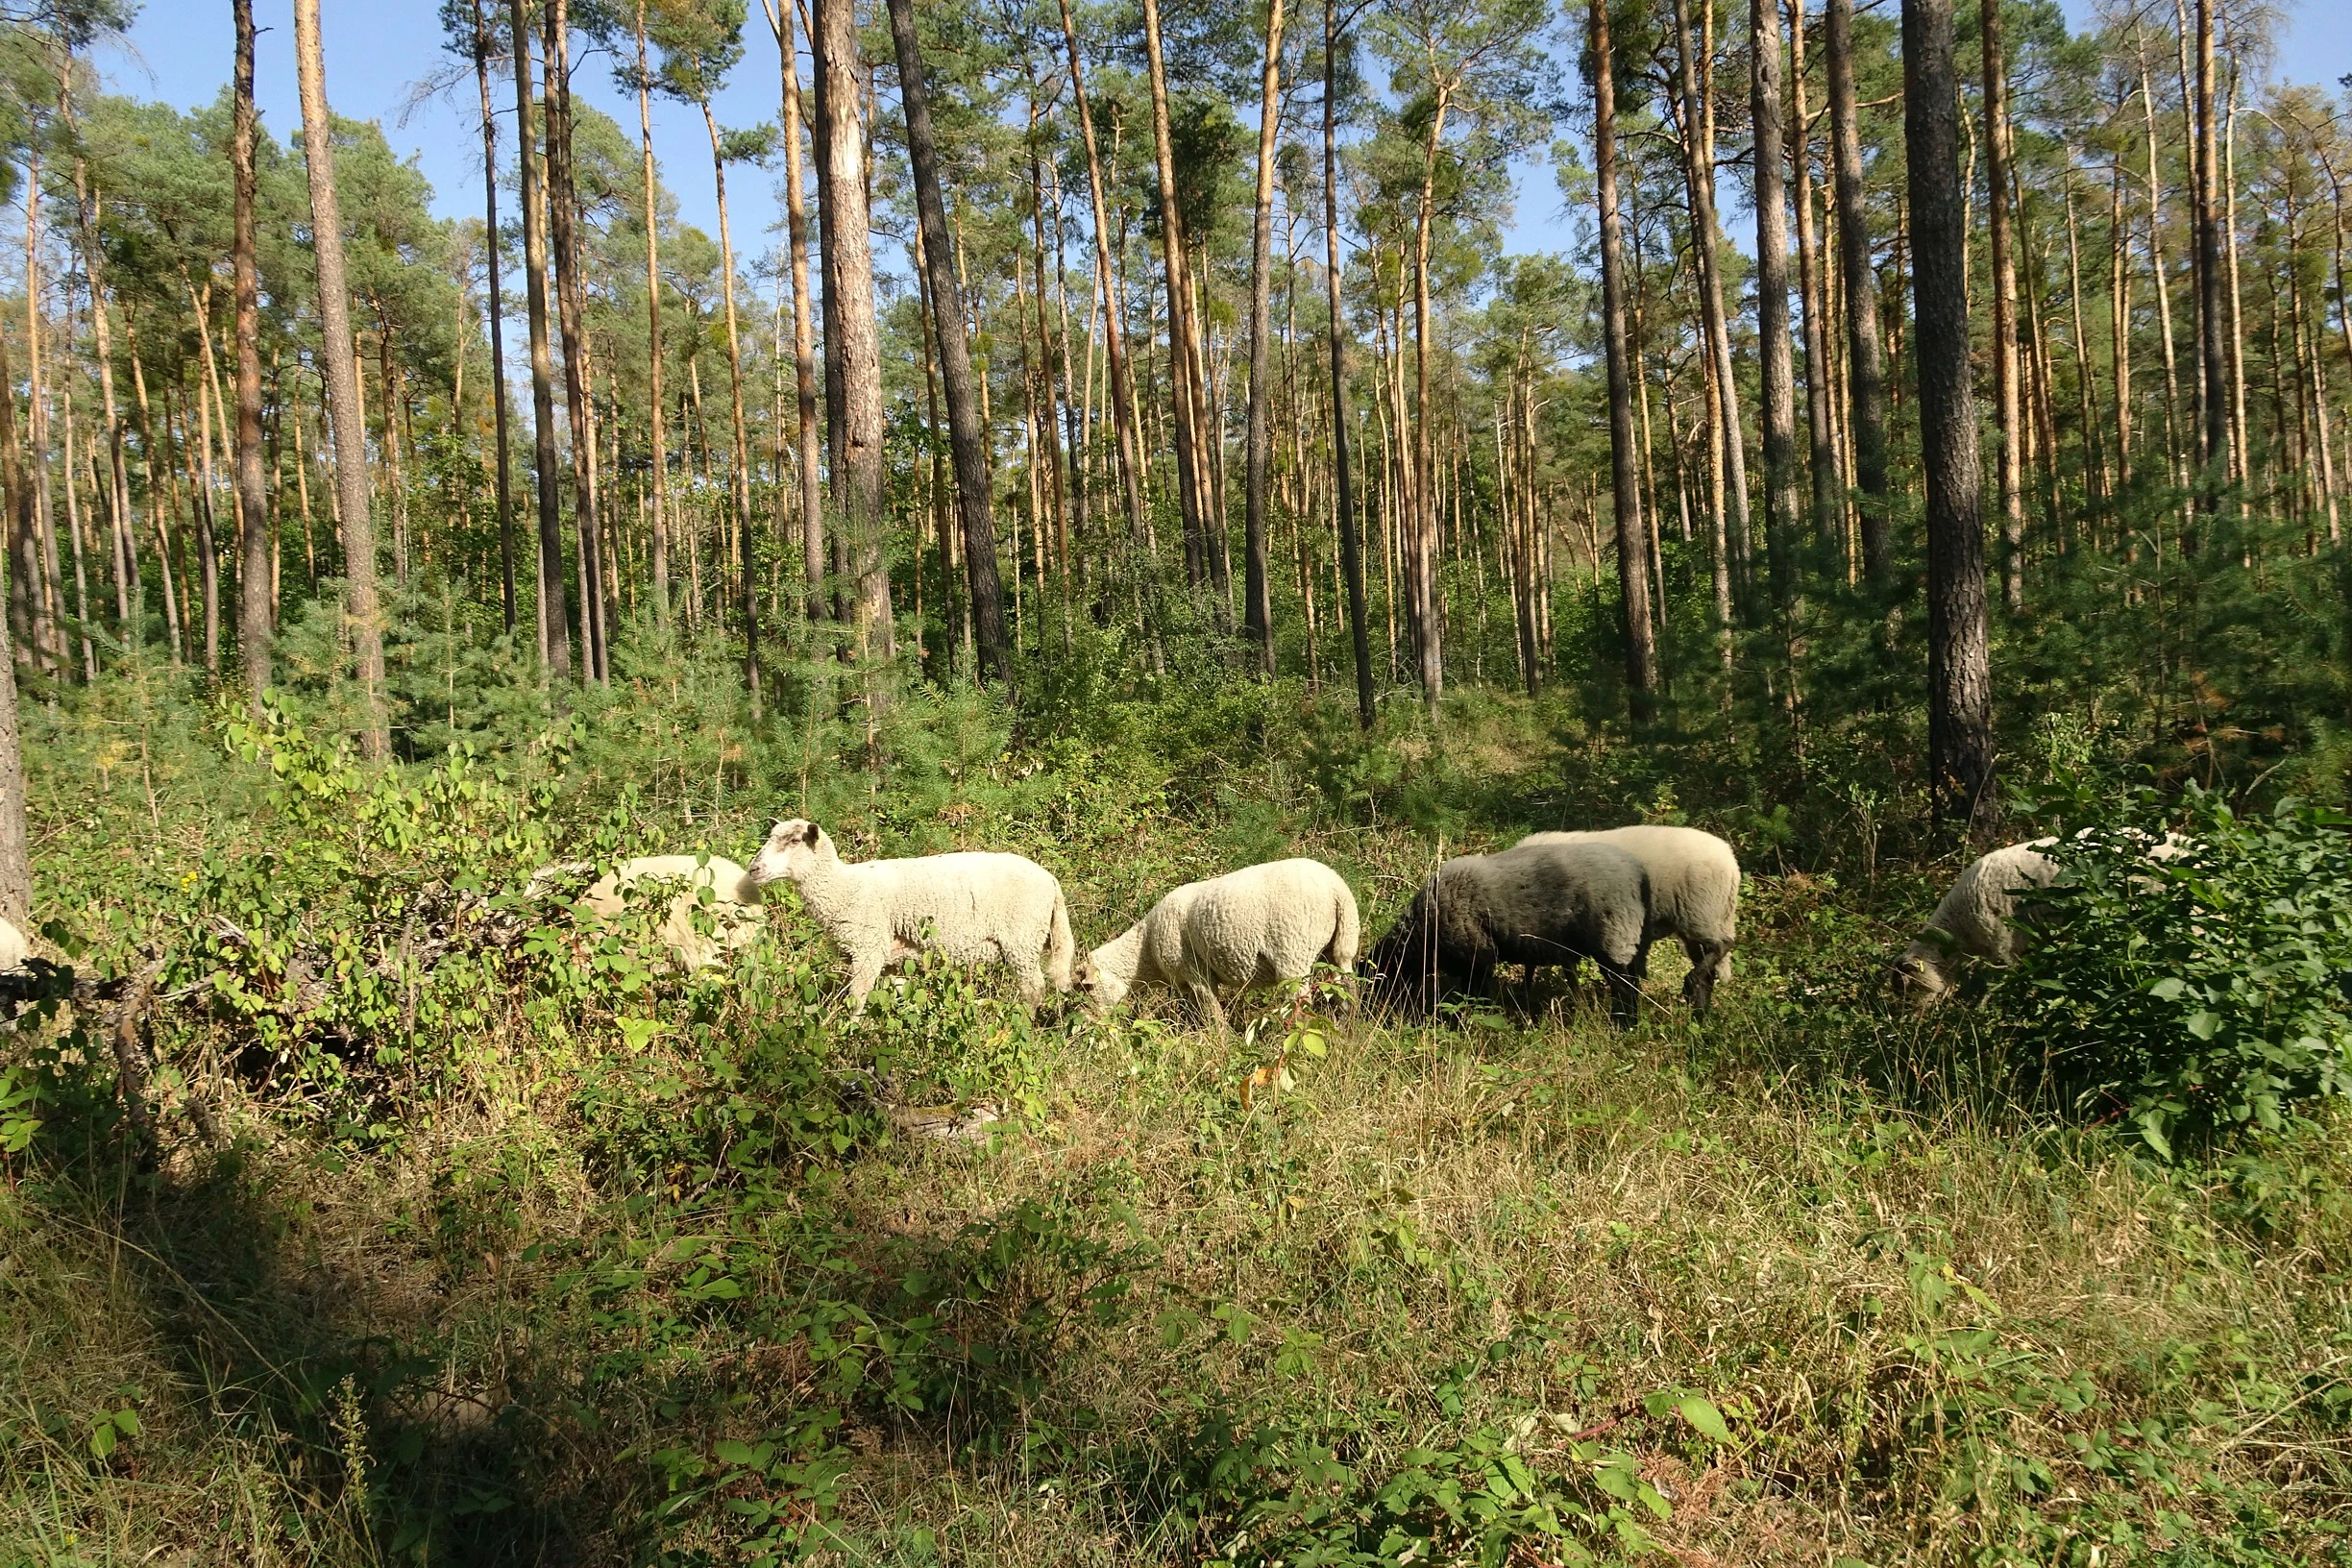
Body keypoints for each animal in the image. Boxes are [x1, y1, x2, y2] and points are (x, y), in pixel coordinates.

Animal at [748, 818, 1074, 1007]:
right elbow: (897, 993)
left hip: (1021, 939)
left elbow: (857, 999)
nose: (753, 869)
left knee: (1033, 990)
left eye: (795, 841)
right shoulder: (889, 957)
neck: (844, 887)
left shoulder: (867, 948)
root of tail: (1051, 880)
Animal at [1077, 858, 1360, 1034]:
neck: (1144, 953)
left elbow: (1213, 1013)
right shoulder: (1186, 983)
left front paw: (1223, 1043)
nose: (1087, 1021)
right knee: (1348, 988)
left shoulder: (1195, 972)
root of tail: (1336, 889)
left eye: (1088, 989)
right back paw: (1345, 1030)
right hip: (1342, 943)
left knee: (1301, 1006)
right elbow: (1196, 1013)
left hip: (1293, 950)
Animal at [1364, 839, 1654, 1028]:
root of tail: (1637, 872)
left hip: (1613, 935)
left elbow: (1476, 996)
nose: (1367, 1014)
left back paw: (1624, 1025)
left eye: (1374, 982)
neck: (1424, 933)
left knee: (1625, 987)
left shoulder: (1478, 959)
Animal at [1518, 825, 1741, 1014]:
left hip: (1702, 912)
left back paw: (1691, 986)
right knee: (1708, 971)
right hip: (1699, 921)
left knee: (1723, 945)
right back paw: (1700, 1013)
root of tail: (1731, 863)